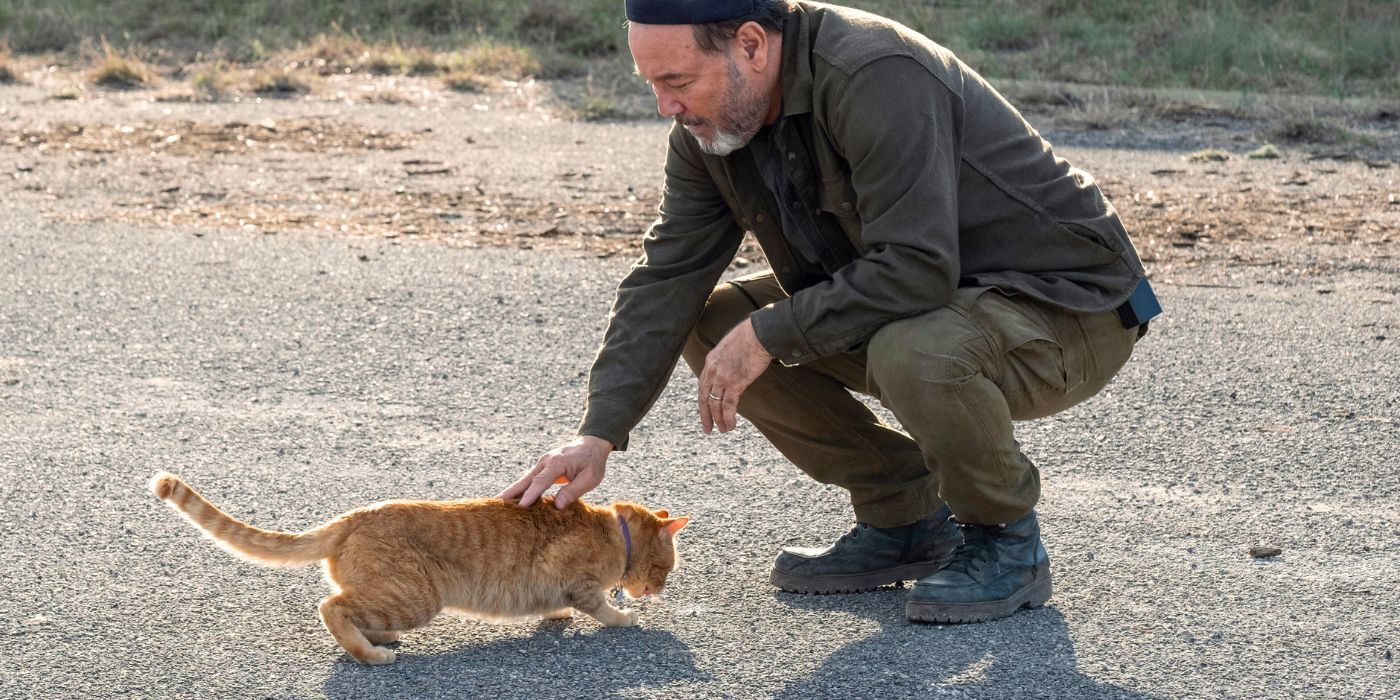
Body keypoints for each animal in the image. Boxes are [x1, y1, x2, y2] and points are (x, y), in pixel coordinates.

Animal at [146, 473, 683, 663]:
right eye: (666, 570)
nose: (658, 590)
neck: (614, 531)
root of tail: (356, 515)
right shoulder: (580, 582)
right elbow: (601, 608)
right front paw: (625, 616)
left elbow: (556, 607)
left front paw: (557, 616)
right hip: (417, 598)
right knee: (331, 607)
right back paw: (371, 654)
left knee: (347, 607)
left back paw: (376, 639)